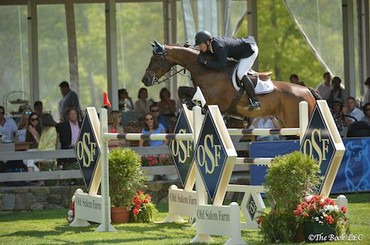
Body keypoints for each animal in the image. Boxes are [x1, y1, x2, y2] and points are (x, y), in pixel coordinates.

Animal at [142, 41, 316, 128]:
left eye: (156, 59)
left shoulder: (211, 98)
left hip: (295, 121)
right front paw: (189, 104)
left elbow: (186, 91)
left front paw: (191, 104)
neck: (205, 68)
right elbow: (182, 89)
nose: (145, 80)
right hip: (283, 122)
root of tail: (307, 91)